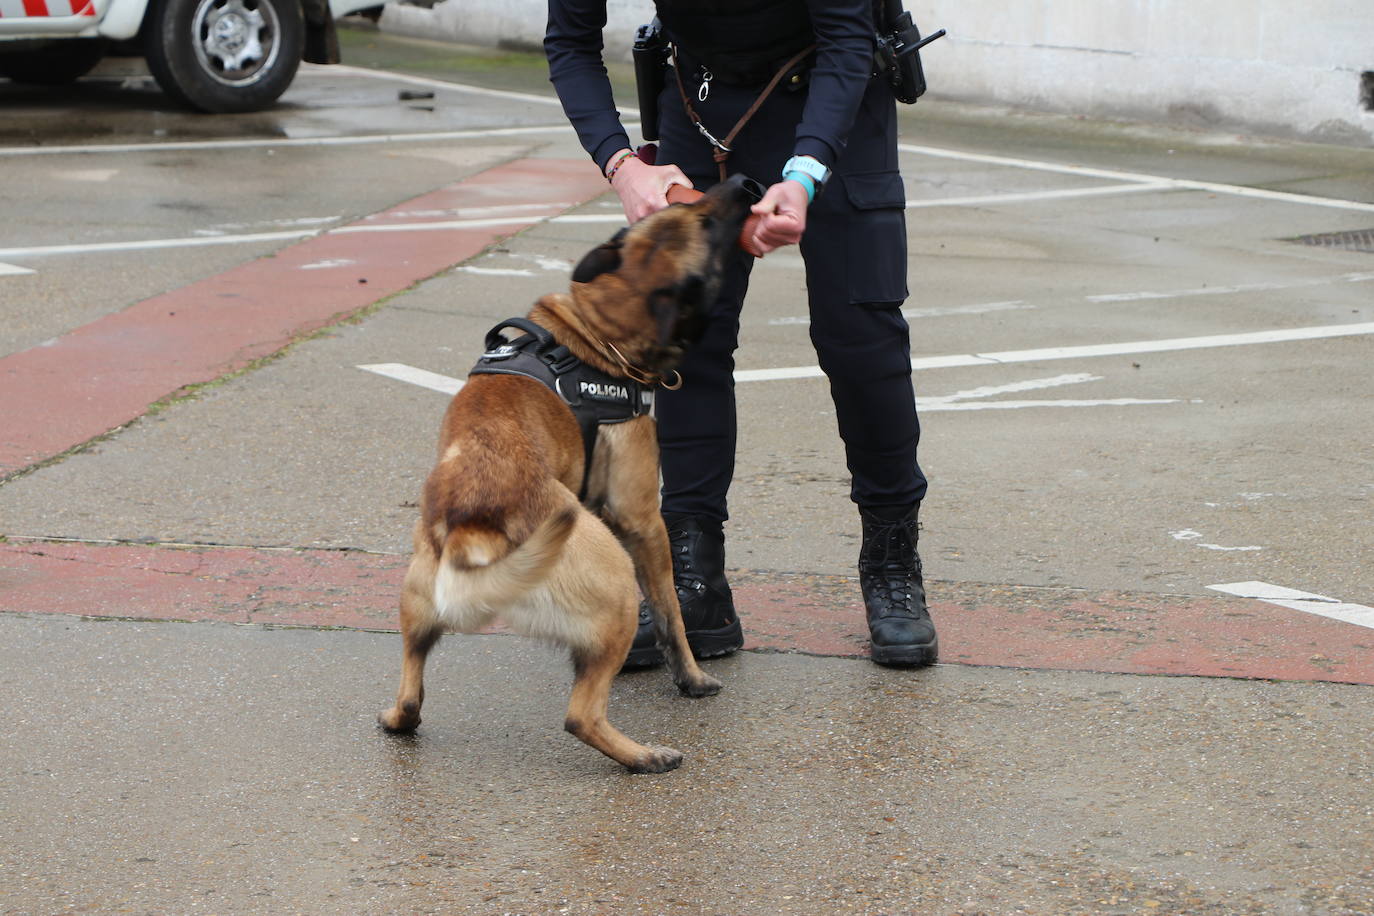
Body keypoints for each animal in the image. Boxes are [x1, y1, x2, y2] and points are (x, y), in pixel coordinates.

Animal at [379, 173, 763, 774]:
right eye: (703, 218)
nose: (744, 181)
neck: (596, 331)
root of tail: (474, 529)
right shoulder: (642, 521)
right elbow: (672, 614)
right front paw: (694, 679)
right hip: (617, 591)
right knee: (580, 715)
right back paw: (643, 756)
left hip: (415, 604)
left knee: (411, 693)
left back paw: (397, 717)